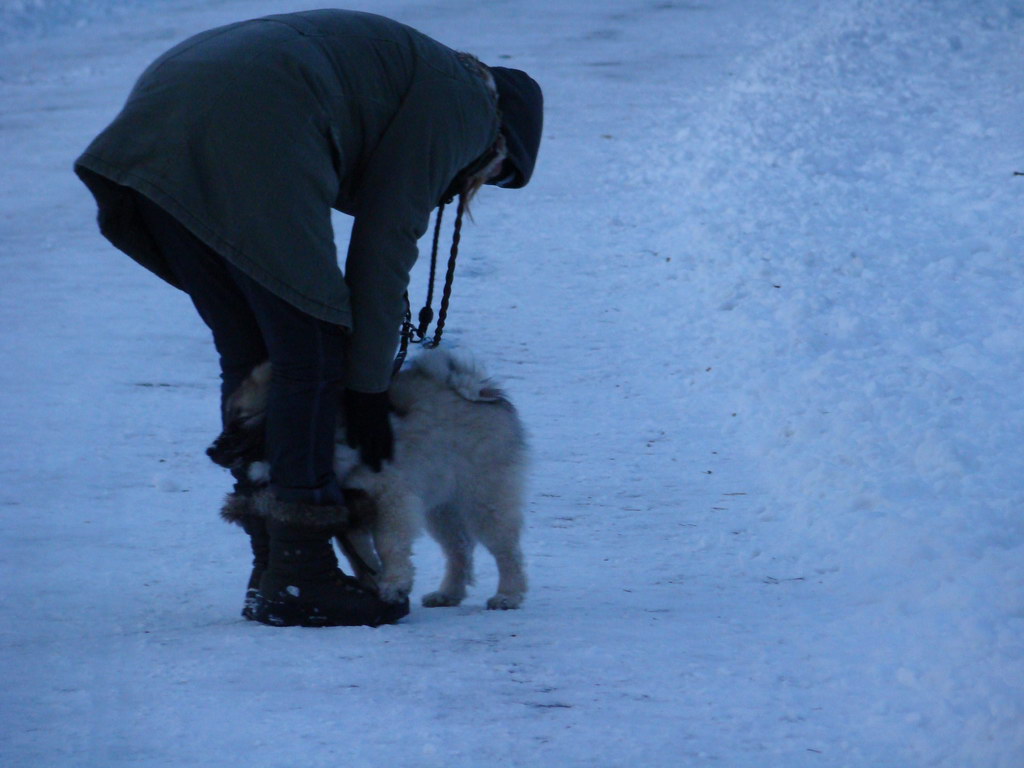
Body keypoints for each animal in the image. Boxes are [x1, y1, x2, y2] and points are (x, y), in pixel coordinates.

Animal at [218, 350, 528, 614]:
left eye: (242, 420)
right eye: (228, 420)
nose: (212, 451)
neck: (336, 438)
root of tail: (480, 393)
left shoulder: (390, 498)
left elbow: (388, 544)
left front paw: (393, 582)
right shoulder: (349, 509)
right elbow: (357, 553)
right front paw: (374, 581)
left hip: (483, 499)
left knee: (506, 551)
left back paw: (508, 595)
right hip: (442, 508)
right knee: (459, 549)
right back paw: (448, 593)